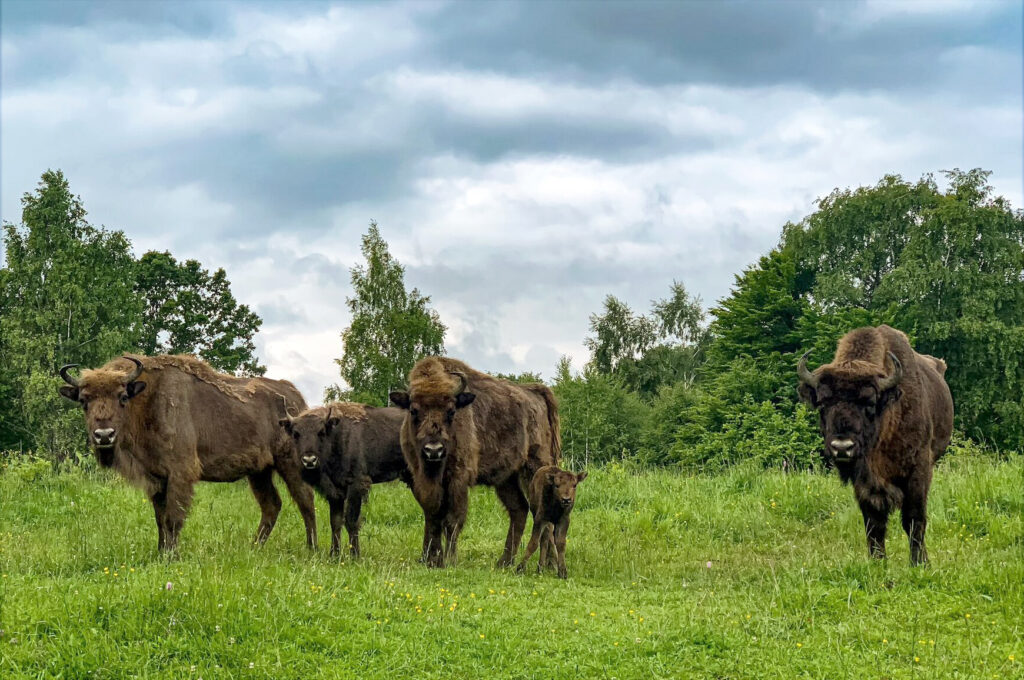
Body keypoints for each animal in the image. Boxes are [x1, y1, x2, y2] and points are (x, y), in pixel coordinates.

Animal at [58, 356, 315, 553]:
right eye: (84, 400)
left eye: (122, 397)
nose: (104, 435)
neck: (145, 402)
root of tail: (296, 398)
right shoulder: (157, 478)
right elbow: (160, 519)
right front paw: (161, 553)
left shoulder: (180, 473)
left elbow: (173, 518)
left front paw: (173, 556)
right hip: (259, 472)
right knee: (272, 505)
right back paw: (253, 548)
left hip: (291, 464)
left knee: (305, 501)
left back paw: (312, 550)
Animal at [282, 401, 409, 557]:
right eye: (296, 434)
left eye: (321, 432)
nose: (309, 460)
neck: (336, 437)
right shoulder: (335, 492)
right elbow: (335, 522)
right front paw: (334, 555)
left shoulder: (356, 485)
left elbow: (351, 521)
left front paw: (355, 555)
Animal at [387, 356, 561, 569]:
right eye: (413, 410)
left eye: (451, 411)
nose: (434, 450)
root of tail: (536, 393)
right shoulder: (421, 479)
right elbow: (432, 516)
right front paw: (432, 559)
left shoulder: (458, 479)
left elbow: (452, 520)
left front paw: (450, 560)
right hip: (506, 478)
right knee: (519, 509)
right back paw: (504, 562)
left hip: (535, 468)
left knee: (543, 515)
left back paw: (549, 564)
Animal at [794, 327, 954, 565]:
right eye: (822, 404)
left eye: (869, 402)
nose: (842, 447)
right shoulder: (863, 482)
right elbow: (874, 523)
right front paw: (878, 562)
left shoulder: (918, 470)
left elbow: (914, 520)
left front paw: (920, 563)